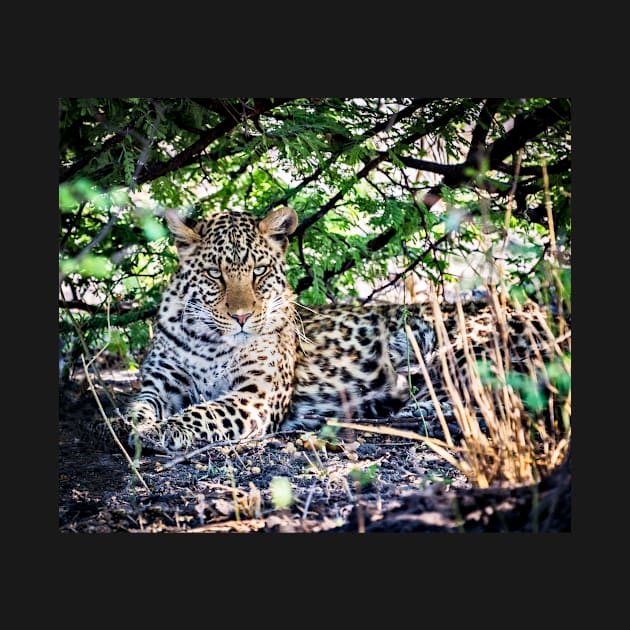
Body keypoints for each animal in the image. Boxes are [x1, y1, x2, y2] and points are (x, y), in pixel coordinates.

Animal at [117, 207, 568, 454]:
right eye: (215, 274)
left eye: (258, 271)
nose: (243, 316)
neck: (209, 341)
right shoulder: (162, 384)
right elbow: (138, 406)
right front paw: (135, 426)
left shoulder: (255, 396)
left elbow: (203, 413)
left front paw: (162, 431)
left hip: (455, 345)